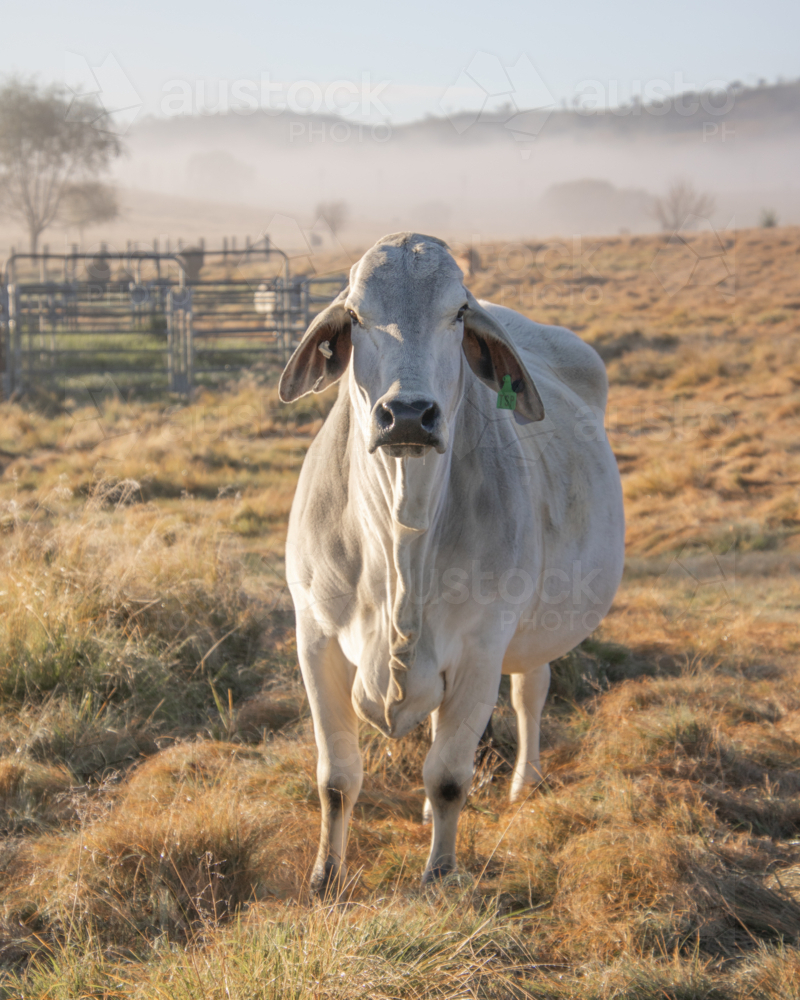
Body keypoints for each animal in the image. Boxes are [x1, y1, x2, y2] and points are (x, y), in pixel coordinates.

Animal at [278, 232, 625, 892]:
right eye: (354, 314)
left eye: (458, 312)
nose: (409, 415)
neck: (402, 542)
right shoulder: (315, 638)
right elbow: (336, 777)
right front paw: (325, 876)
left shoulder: (481, 650)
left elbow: (448, 777)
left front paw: (439, 874)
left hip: (533, 632)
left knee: (530, 694)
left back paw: (523, 782)